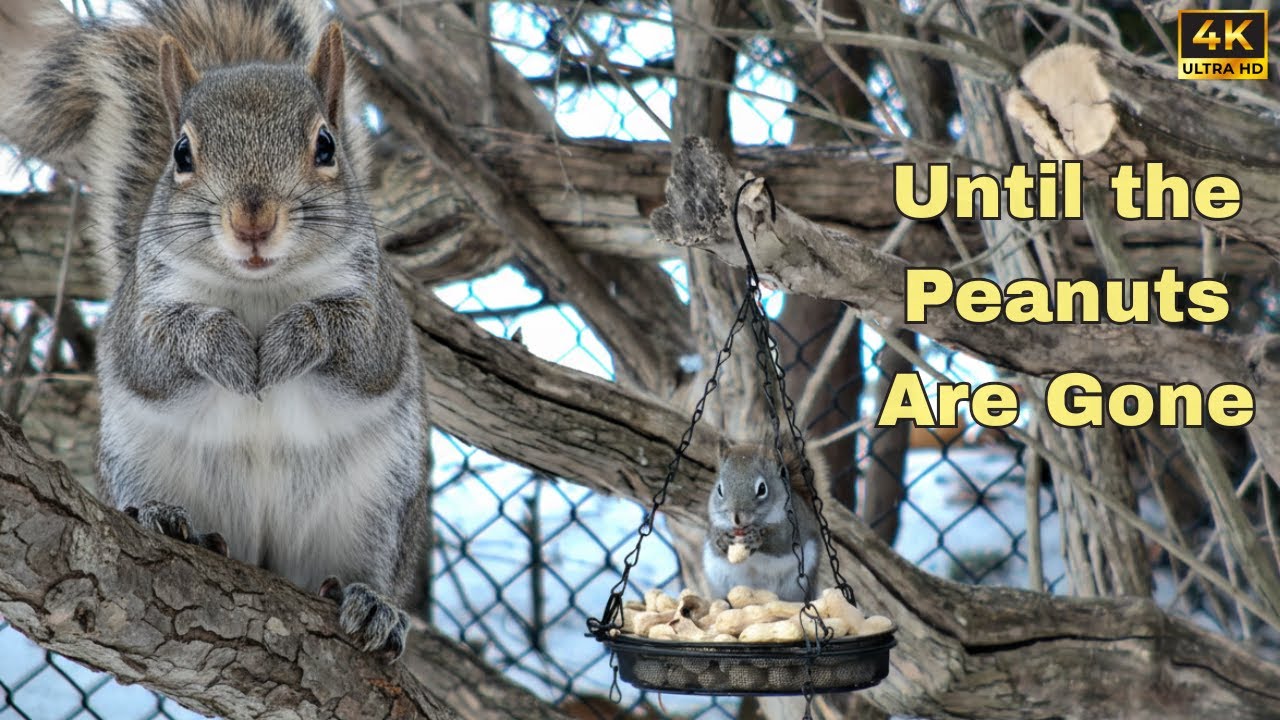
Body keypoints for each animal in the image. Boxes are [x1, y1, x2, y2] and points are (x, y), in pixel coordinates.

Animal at [2, 1, 429, 658]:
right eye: (182, 153)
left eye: (325, 146)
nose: (253, 220)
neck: (257, 288)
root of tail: (262, 552)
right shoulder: (142, 312)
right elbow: (157, 350)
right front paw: (225, 347)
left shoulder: (376, 311)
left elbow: (354, 343)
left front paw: (286, 344)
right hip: (140, 465)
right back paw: (170, 521)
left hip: (378, 507)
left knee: (364, 567)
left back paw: (371, 602)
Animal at [702, 442, 828, 603]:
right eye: (719, 489)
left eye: (762, 488)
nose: (737, 518)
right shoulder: (713, 525)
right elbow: (715, 544)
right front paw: (723, 538)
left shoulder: (793, 525)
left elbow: (781, 543)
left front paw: (756, 537)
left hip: (799, 582)